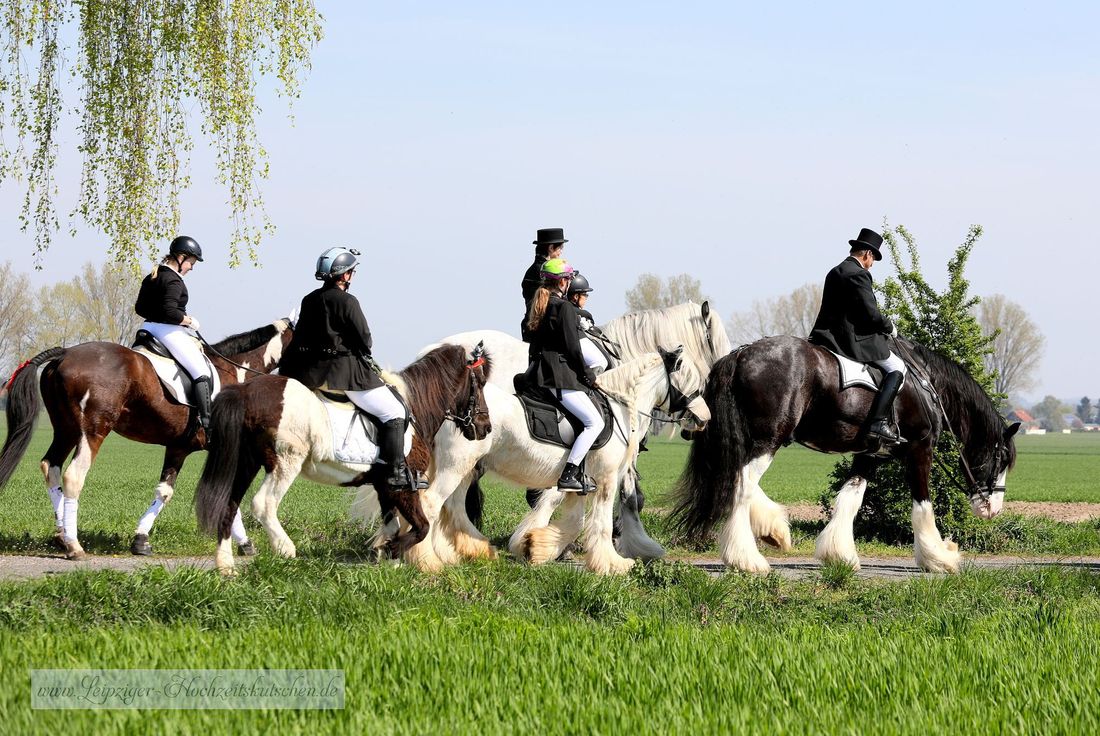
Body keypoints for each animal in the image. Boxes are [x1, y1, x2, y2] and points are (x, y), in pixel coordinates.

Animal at [0, 316, 294, 556]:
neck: (235, 370)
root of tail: (65, 353)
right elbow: (228, 492)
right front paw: (245, 543)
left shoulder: (178, 448)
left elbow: (164, 492)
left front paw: (140, 540)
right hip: (91, 431)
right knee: (74, 476)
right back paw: (74, 545)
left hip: (66, 430)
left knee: (51, 467)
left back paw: (62, 535)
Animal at [195, 345, 492, 572]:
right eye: (479, 383)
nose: (485, 427)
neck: (416, 406)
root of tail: (245, 391)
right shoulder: (404, 486)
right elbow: (421, 527)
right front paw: (392, 551)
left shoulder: (385, 486)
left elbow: (393, 525)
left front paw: (388, 559)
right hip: (285, 462)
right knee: (263, 503)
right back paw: (285, 548)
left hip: (246, 462)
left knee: (229, 505)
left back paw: (226, 566)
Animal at [354, 345, 704, 572]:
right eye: (692, 380)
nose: (704, 419)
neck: (620, 404)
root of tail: (448, 406)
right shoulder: (605, 480)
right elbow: (601, 523)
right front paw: (612, 564)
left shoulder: (580, 483)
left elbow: (574, 522)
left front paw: (536, 547)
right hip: (457, 468)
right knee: (431, 505)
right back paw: (428, 561)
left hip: (465, 470)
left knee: (450, 509)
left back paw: (467, 551)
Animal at [668, 334, 1020, 572]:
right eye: (1001, 459)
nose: (993, 509)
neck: (926, 384)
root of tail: (740, 355)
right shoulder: (921, 448)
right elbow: (922, 505)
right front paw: (938, 557)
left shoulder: (872, 454)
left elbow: (851, 497)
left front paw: (839, 554)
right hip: (768, 440)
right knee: (740, 485)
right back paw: (747, 559)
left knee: (737, 481)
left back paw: (773, 531)